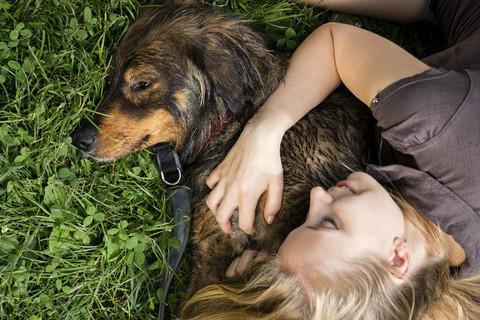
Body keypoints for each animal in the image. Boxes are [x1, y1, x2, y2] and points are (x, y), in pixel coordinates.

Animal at [73, 0, 376, 304]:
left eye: (143, 84)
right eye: (110, 80)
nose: (79, 138)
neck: (230, 124)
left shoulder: (220, 240)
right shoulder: (215, 242)